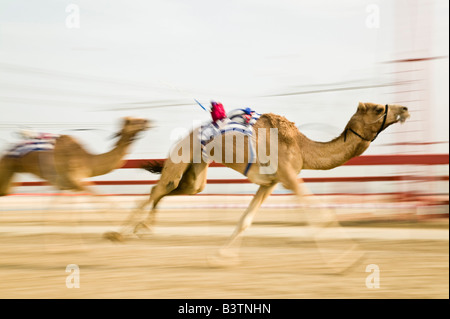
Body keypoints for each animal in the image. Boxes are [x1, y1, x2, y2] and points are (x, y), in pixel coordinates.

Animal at [0, 118, 151, 198]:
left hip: (11, 173)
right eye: (134, 121)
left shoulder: (66, 184)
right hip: (6, 167)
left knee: (5, 191)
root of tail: (6, 151)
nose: (148, 121)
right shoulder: (75, 179)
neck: (89, 159)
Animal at [107, 102, 410, 270]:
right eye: (377, 108)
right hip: (181, 155)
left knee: (172, 190)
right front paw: (348, 261)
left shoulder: (272, 182)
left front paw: (220, 258)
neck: (302, 147)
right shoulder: (289, 176)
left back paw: (140, 229)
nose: (405, 109)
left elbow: (246, 220)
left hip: (197, 175)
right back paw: (117, 234)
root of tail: (185, 135)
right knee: (159, 188)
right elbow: (318, 213)